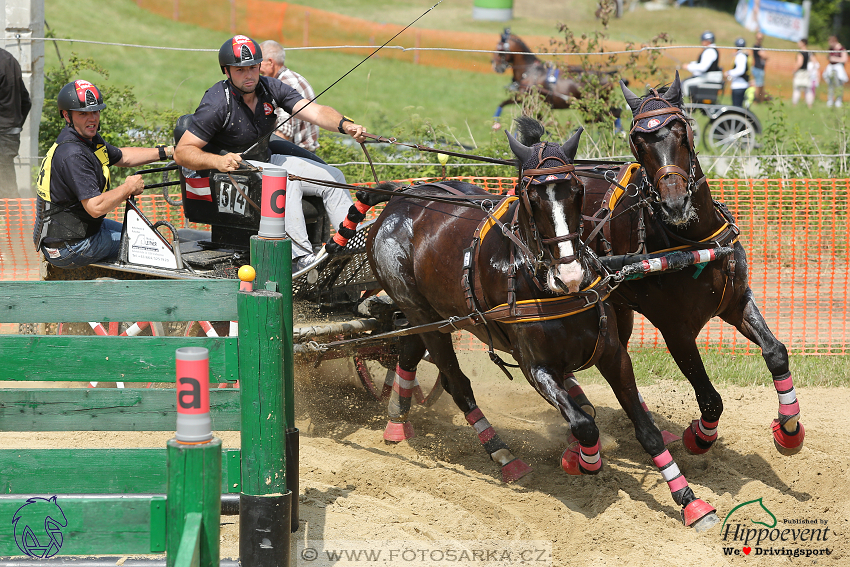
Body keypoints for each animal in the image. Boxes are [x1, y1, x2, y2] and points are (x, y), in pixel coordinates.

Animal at [486, 29, 620, 129]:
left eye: (500, 49)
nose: (495, 66)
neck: (530, 71)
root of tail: (606, 74)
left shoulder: (528, 101)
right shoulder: (526, 100)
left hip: (593, 106)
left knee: (607, 118)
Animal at [576, 72, 800, 458]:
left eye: (682, 130)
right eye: (638, 142)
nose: (675, 203)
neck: (694, 243)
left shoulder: (736, 302)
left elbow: (776, 353)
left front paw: (788, 427)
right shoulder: (676, 332)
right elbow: (710, 398)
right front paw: (700, 436)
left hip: (619, 309)